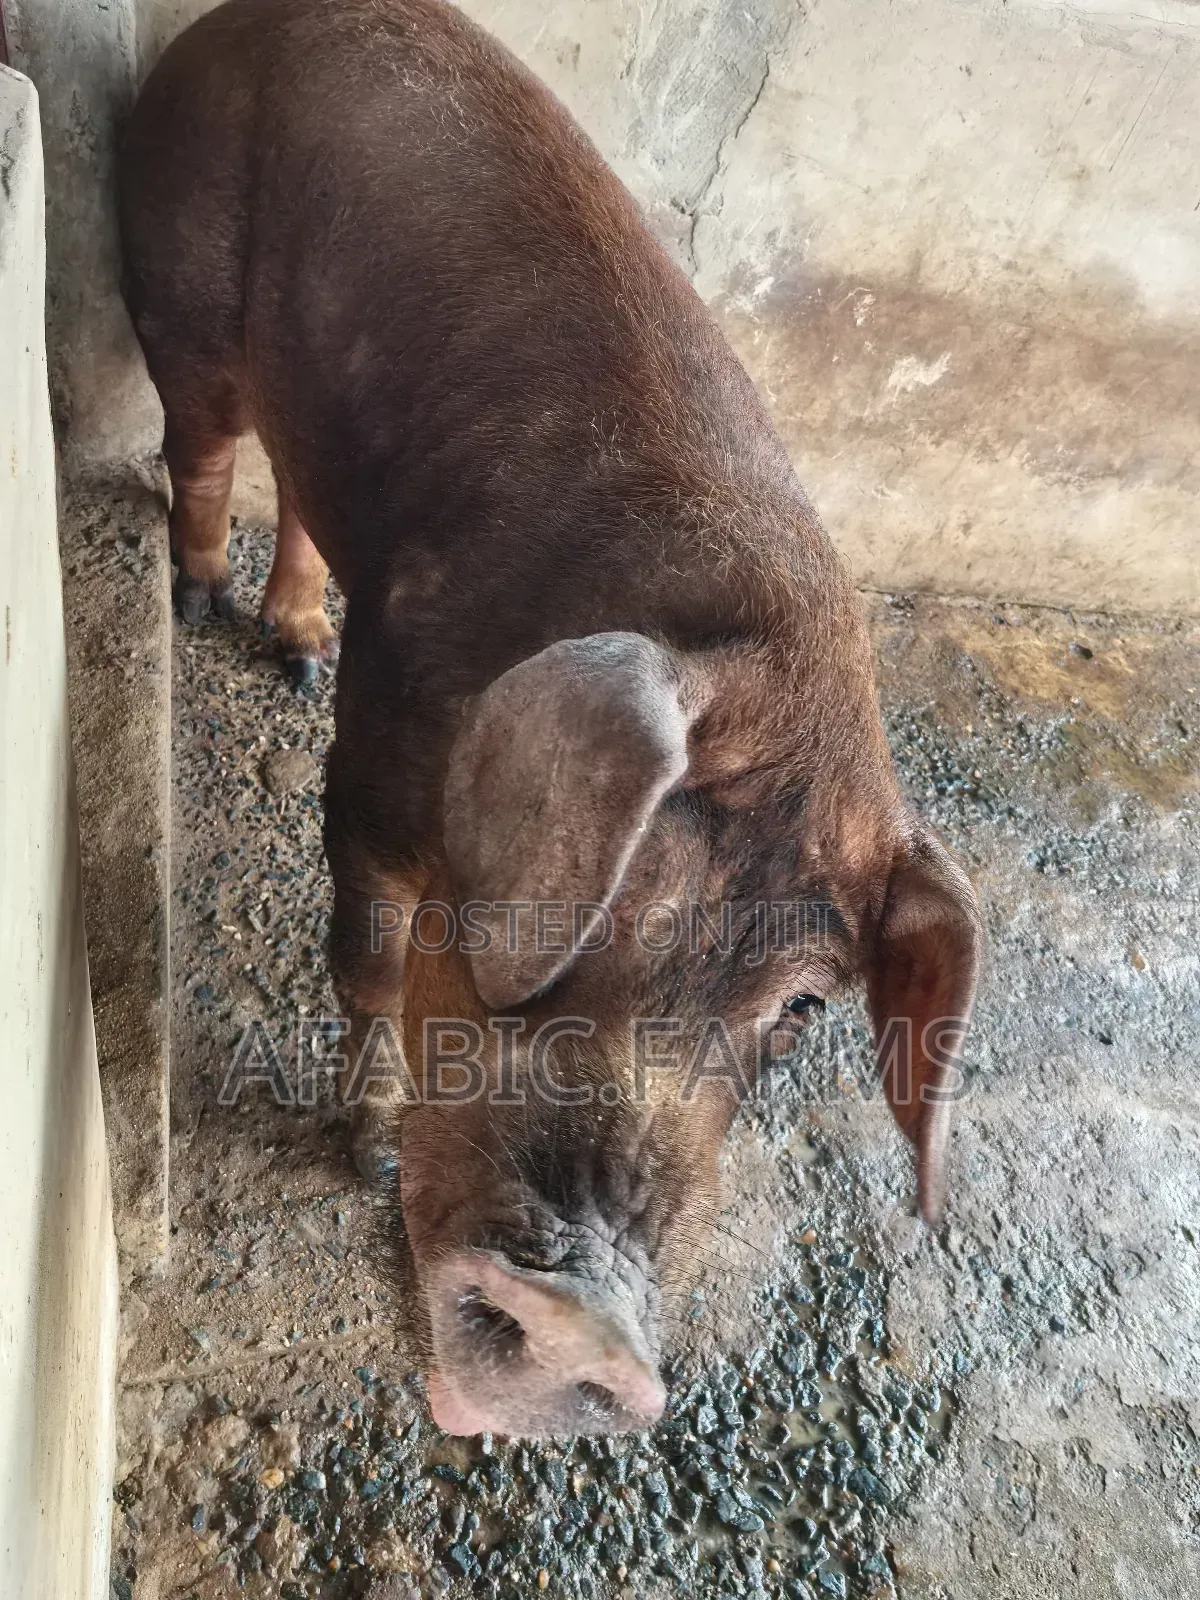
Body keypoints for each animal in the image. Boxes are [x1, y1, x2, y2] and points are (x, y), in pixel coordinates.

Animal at [119, 0, 982, 1438]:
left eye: (807, 1006)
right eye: (606, 888)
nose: (591, 1331)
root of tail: (242, 21)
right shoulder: (368, 771)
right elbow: (368, 961)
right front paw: (363, 1154)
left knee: (293, 480)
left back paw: (294, 645)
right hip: (179, 282)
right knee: (203, 444)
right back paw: (195, 603)